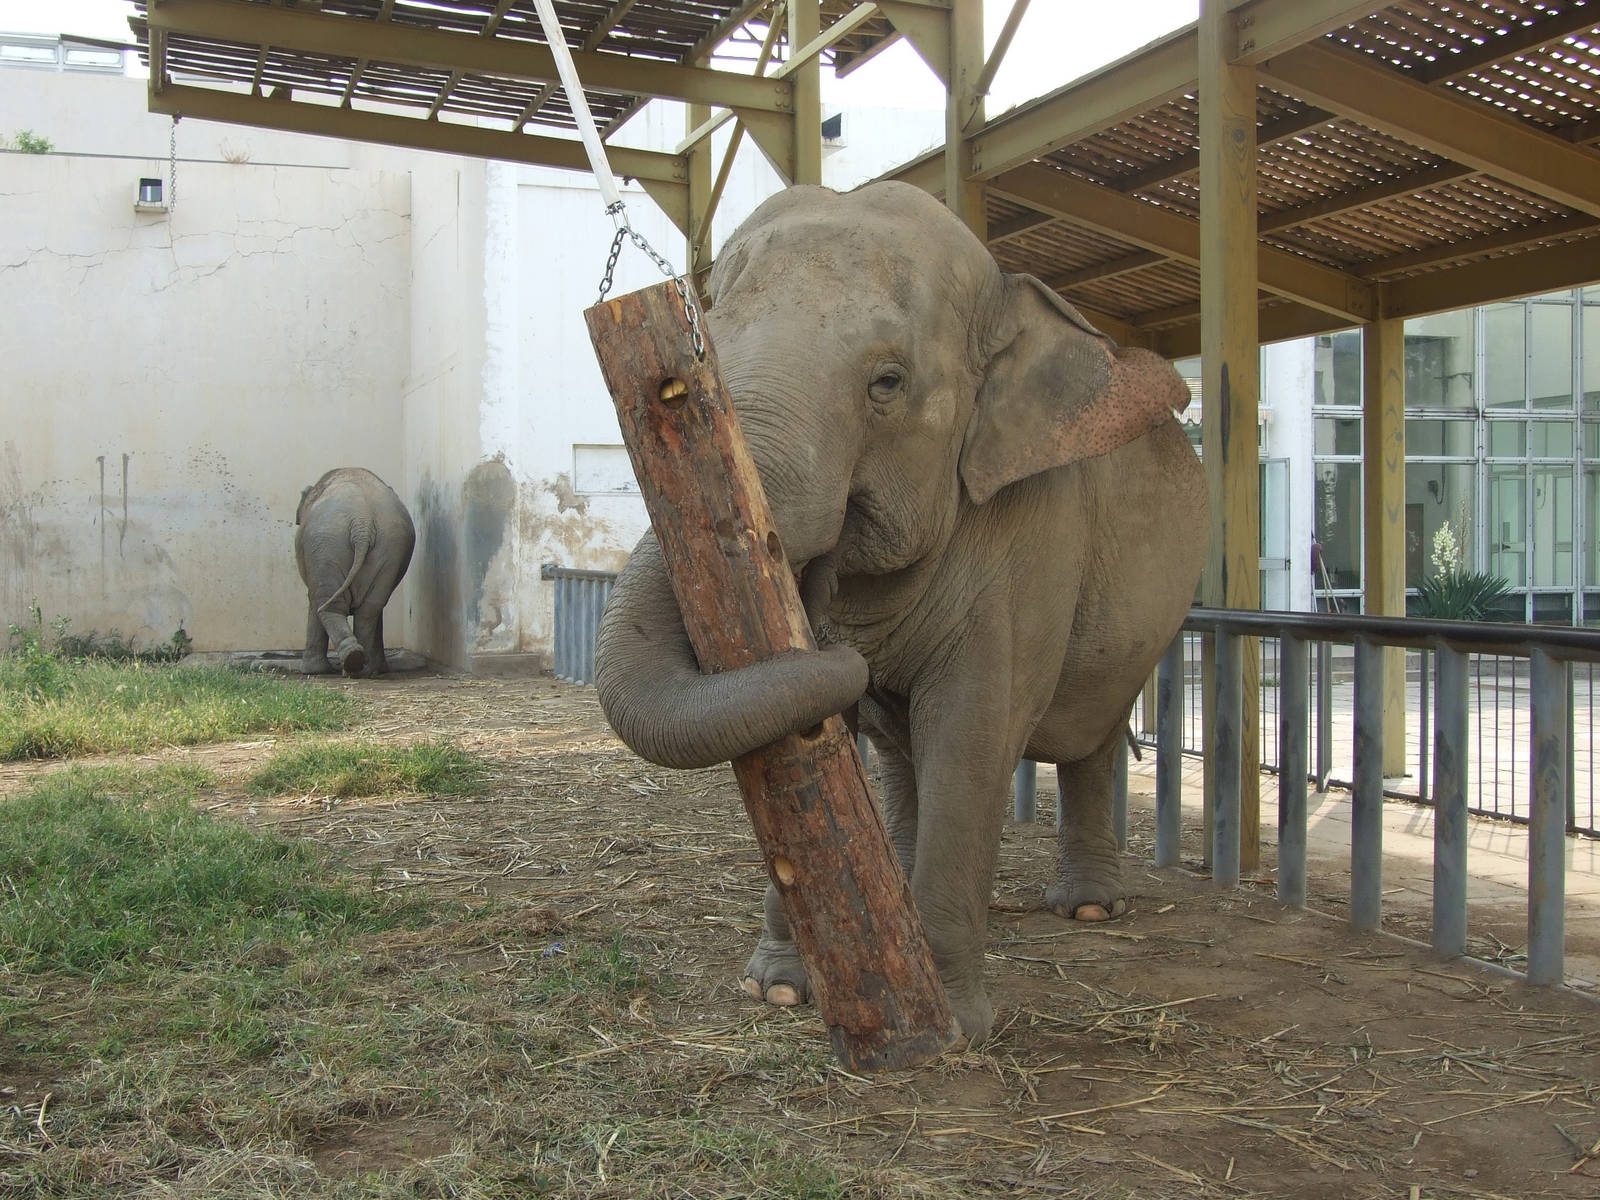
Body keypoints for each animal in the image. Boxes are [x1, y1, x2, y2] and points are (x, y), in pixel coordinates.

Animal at [295, 467, 415, 678]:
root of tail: (362, 523)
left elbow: (313, 599)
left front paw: (312, 671)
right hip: (391, 546)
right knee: (370, 608)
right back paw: (366, 668)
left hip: (327, 544)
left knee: (327, 604)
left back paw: (348, 664)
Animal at [593, 181, 1207, 1045]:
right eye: (703, 355)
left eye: (886, 383)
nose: (811, 581)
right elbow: (819, 733)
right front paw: (777, 990)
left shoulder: (1033, 532)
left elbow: (975, 730)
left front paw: (949, 1028)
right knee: (903, 755)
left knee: (1090, 731)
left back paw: (1087, 909)